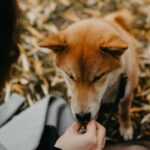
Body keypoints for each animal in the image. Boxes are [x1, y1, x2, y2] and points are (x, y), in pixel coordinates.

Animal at [39, 9, 139, 140]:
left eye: (98, 77)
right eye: (70, 76)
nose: (82, 117)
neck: (107, 92)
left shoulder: (126, 94)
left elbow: (124, 111)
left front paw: (126, 128)